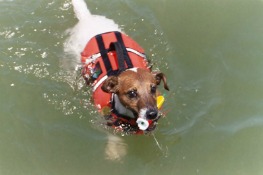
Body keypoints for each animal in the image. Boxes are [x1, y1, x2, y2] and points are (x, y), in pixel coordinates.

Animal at [67, 0, 169, 160]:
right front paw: (115, 151)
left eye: (153, 88)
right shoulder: (106, 122)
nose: (152, 114)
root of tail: (86, 18)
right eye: (132, 93)